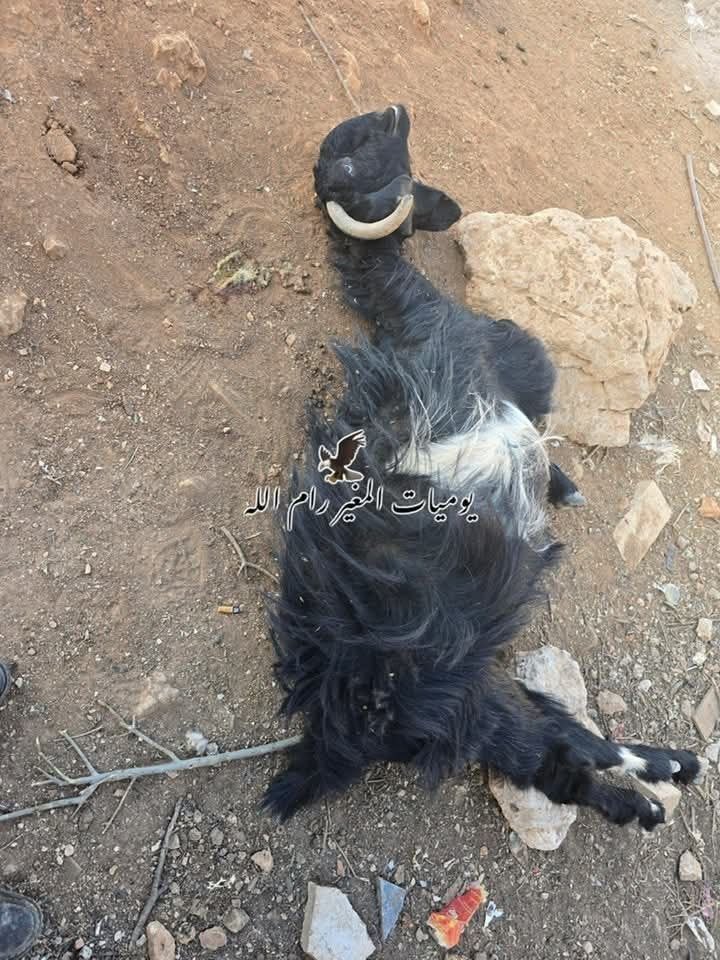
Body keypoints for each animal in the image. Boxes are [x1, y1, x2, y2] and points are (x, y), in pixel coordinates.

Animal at [262, 104, 706, 829]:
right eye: (360, 150)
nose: (394, 109)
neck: (419, 322)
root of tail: (342, 734)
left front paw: (565, 489)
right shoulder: (518, 370)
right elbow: (543, 431)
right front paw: (566, 487)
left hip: (477, 699)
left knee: (561, 749)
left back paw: (671, 767)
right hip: (468, 699)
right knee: (566, 759)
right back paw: (648, 796)